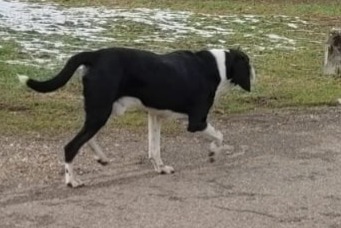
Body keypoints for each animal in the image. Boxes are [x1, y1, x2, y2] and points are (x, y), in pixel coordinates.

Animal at [17, 46, 254, 187]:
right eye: (249, 65)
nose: (255, 75)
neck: (217, 66)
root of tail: (95, 54)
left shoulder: (155, 115)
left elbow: (154, 148)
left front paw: (160, 168)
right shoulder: (197, 122)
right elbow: (220, 135)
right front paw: (213, 152)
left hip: (103, 111)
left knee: (88, 137)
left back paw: (101, 158)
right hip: (101, 111)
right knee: (71, 146)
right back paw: (72, 180)